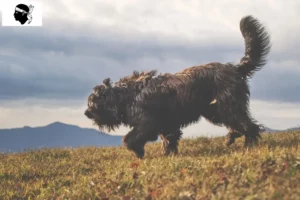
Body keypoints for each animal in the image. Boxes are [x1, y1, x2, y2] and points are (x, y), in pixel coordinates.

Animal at [85, 15, 272, 159]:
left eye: (93, 101)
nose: (86, 113)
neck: (128, 95)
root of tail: (235, 68)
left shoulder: (148, 123)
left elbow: (131, 138)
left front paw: (138, 151)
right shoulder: (166, 124)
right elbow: (169, 139)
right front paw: (169, 154)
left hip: (227, 106)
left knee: (249, 125)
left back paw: (249, 143)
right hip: (215, 110)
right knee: (240, 124)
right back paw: (233, 137)